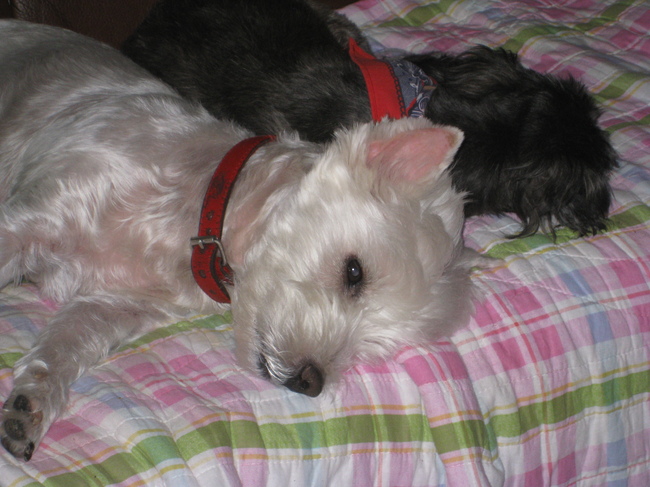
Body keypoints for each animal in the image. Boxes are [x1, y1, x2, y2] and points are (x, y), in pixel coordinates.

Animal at [0, 20, 491, 460]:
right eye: (355, 272)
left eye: (376, 343)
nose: (309, 382)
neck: (195, 219)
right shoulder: (37, 216)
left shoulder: (113, 305)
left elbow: (66, 343)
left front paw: (29, 407)